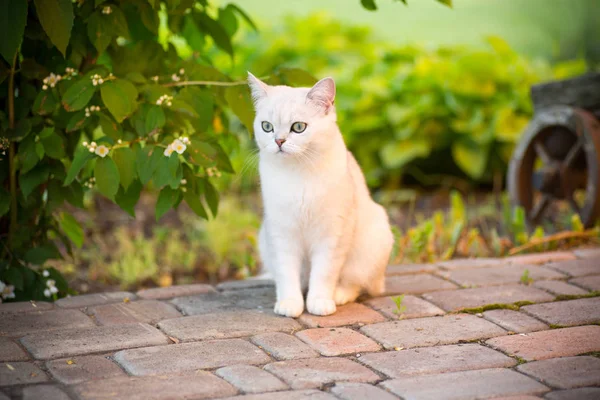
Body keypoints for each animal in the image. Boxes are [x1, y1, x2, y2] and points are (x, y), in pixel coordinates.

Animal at [248, 71, 394, 316]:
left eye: (298, 127)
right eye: (267, 126)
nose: (278, 141)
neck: (298, 174)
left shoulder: (332, 235)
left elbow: (324, 274)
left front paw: (320, 302)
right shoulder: (282, 235)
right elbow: (286, 274)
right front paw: (290, 304)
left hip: (372, 243)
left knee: (356, 283)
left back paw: (339, 295)